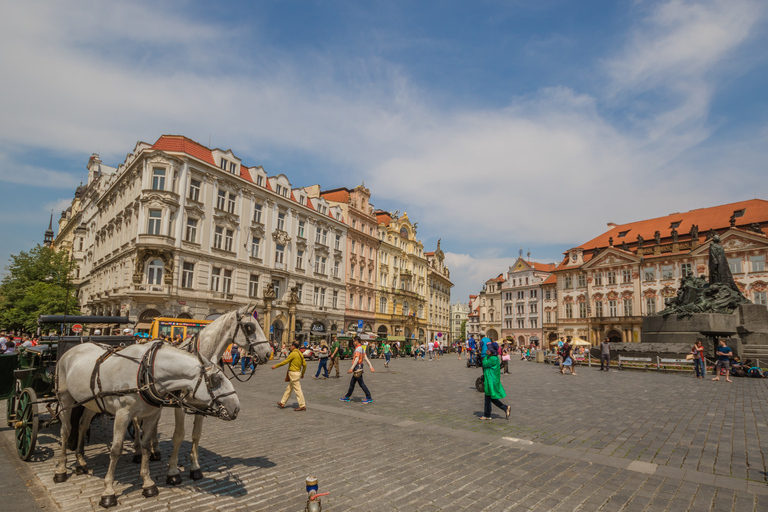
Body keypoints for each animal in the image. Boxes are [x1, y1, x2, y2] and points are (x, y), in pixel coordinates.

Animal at [54, 340, 238, 508]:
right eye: (215, 379)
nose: (236, 408)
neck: (147, 373)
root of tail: (73, 348)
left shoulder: (151, 414)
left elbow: (145, 446)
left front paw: (148, 483)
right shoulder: (122, 414)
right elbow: (116, 450)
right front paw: (108, 491)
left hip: (91, 402)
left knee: (83, 425)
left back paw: (81, 462)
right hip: (65, 399)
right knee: (66, 430)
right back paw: (61, 470)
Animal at [152, 306, 272, 486]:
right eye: (250, 327)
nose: (268, 353)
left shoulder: (202, 406)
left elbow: (196, 435)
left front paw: (195, 468)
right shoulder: (180, 405)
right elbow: (178, 436)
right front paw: (173, 472)